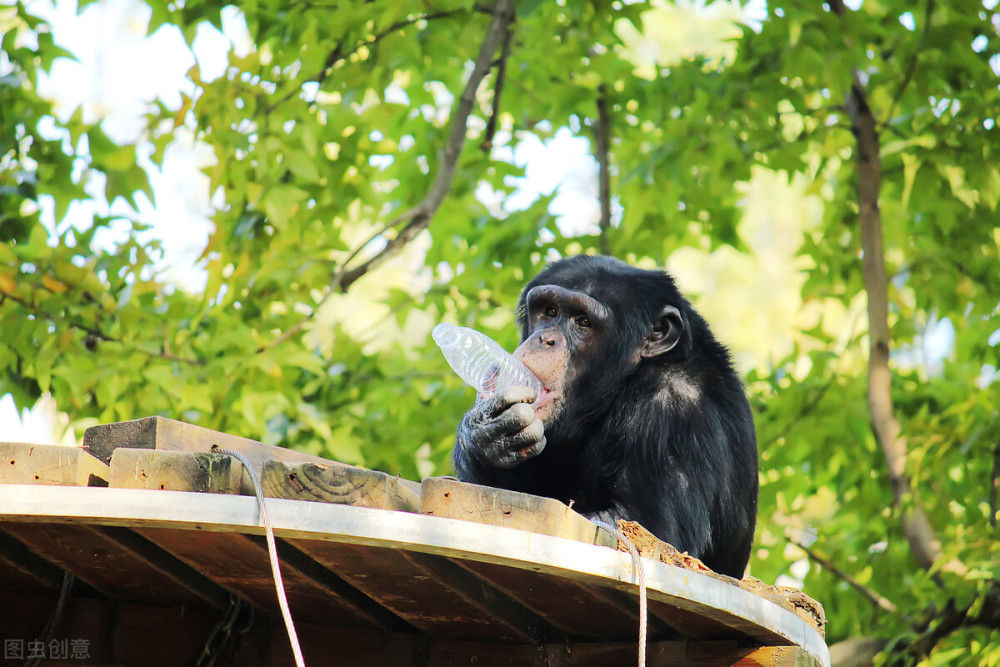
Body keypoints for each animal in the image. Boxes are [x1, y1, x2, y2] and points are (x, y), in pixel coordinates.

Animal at [454, 256, 756, 580]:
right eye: (550, 311)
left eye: (583, 322)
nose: (545, 339)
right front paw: (487, 431)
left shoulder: (675, 410)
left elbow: (647, 532)